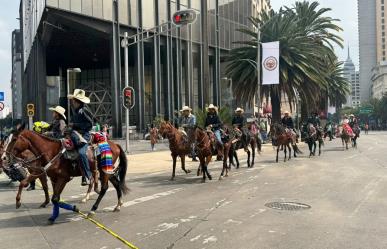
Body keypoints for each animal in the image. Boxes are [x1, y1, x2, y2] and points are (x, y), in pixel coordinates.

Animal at [2, 125, 130, 223]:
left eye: (14, 139)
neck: (50, 151)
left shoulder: (63, 178)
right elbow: (26, 184)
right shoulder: (48, 176)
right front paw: (18, 202)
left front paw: (73, 209)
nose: (3, 158)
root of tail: (115, 145)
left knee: (104, 188)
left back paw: (93, 209)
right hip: (107, 170)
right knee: (116, 184)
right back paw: (118, 205)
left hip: (103, 171)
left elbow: (55, 198)